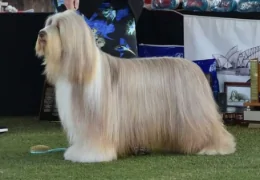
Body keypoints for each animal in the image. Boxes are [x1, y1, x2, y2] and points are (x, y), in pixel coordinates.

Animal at [35, 9, 237, 163]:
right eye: (49, 22)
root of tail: (195, 66)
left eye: (58, 27)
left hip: (194, 112)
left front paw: (90, 155)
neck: (83, 68)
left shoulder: (96, 121)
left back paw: (215, 147)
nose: (41, 33)